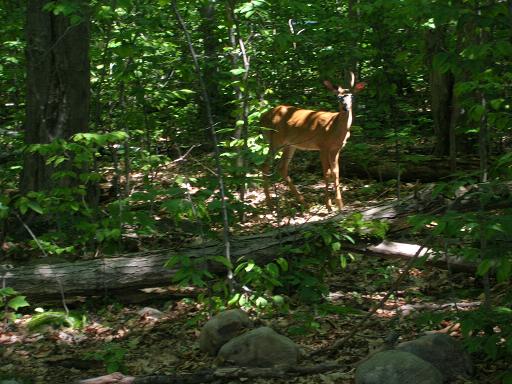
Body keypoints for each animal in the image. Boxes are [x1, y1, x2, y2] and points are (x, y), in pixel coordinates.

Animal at [260, 71, 364, 210]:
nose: (345, 107)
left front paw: (340, 204)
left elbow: (336, 172)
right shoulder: (323, 146)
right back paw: (270, 204)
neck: (335, 128)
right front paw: (329, 205)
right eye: (338, 97)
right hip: (276, 140)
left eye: (352, 96)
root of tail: (262, 118)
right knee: (265, 165)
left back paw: (303, 202)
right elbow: (327, 173)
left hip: (290, 145)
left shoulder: (336, 148)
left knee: (282, 167)